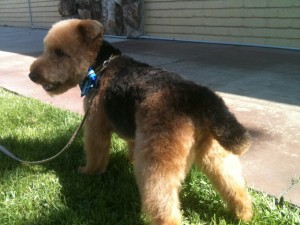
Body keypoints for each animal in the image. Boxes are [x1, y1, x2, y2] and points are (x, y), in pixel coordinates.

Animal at [28, 19, 253, 225]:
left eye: (59, 52)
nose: (32, 75)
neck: (101, 66)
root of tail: (196, 95)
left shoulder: (95, 125)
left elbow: (96, 154)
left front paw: (88, 171)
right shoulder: (134, 133)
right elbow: (130, 148)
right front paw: (128, 161)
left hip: (159, 162)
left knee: (164, 206)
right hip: (215, 153)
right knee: (235, 187)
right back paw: (244, 214)